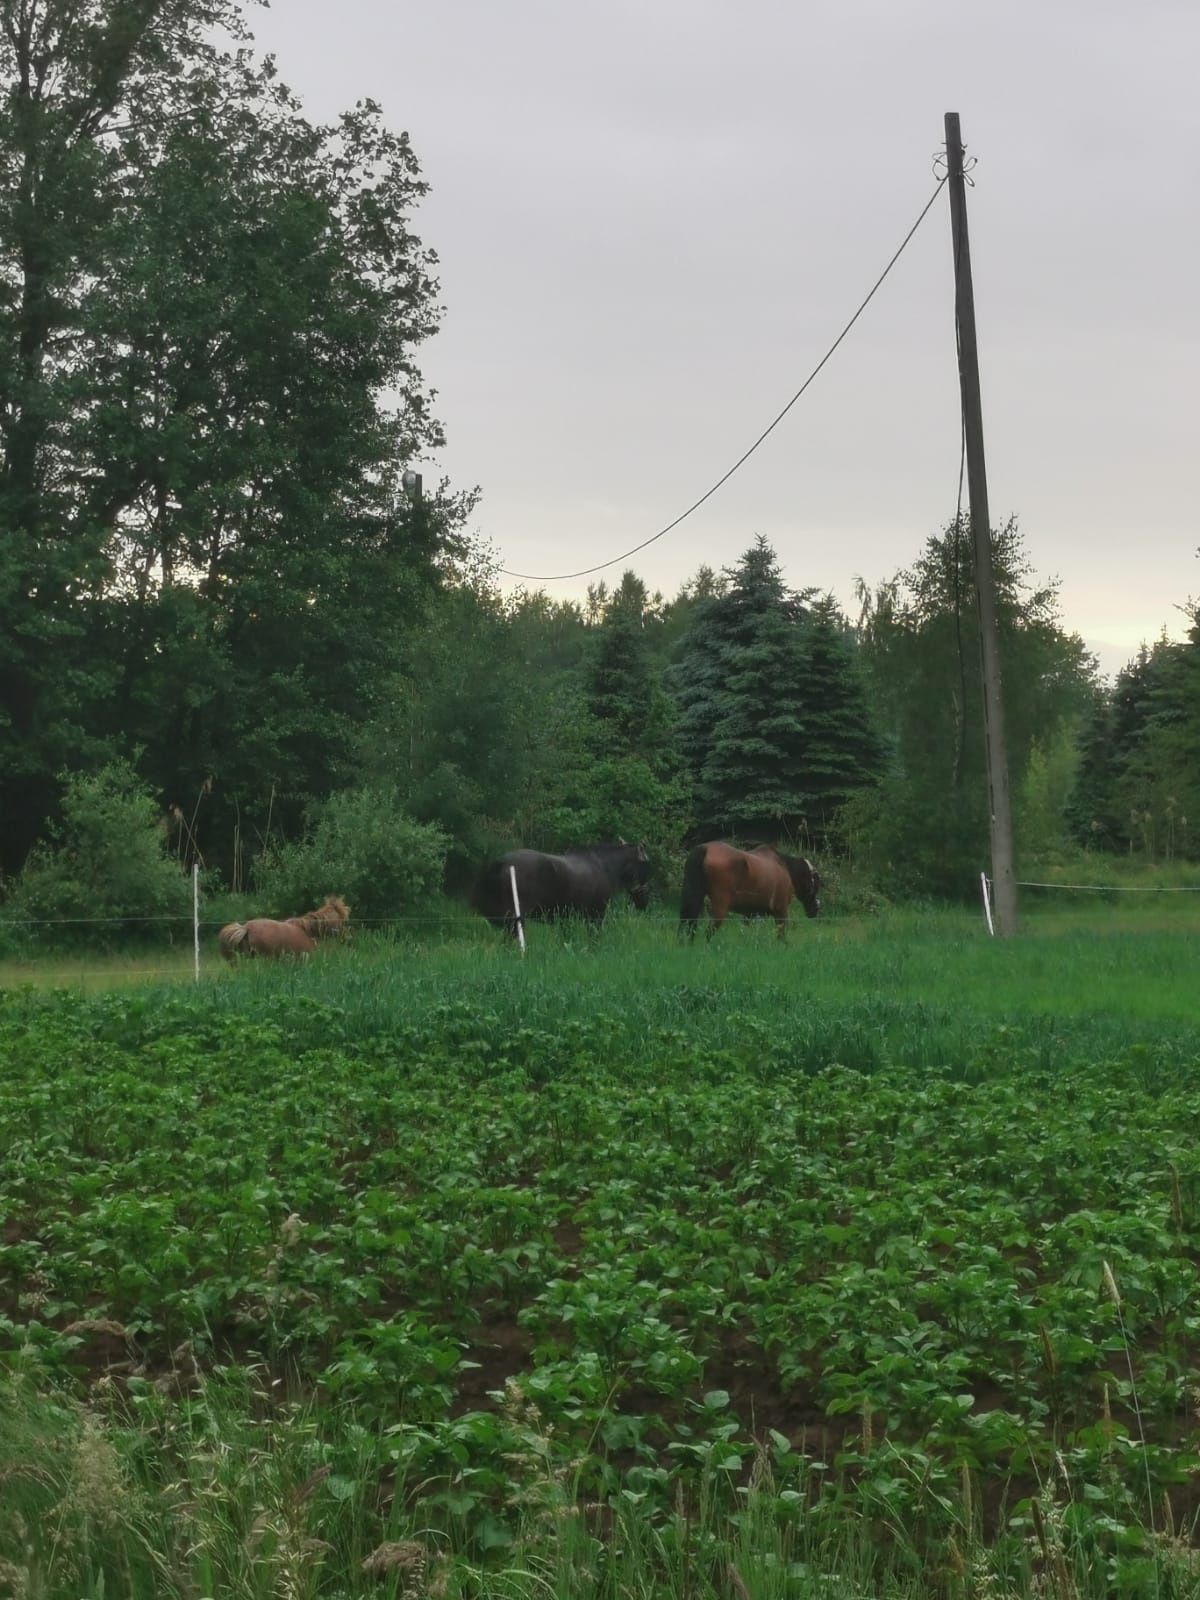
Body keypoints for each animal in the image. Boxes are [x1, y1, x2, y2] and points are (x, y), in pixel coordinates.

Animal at [473, 838, 652, 934]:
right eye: (645, 864)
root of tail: (501, 862)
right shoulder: (596, 915)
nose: (644, 902)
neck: (605, 867)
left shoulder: (565, 918)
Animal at [681, 844, 825, 940]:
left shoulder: (749, 914)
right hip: (719, 908)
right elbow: (781, 936)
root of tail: (704, 848)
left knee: (689, 926)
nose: (816, 909)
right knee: (708, 932)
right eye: (815, 883)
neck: (785, 868)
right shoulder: (781, 911)